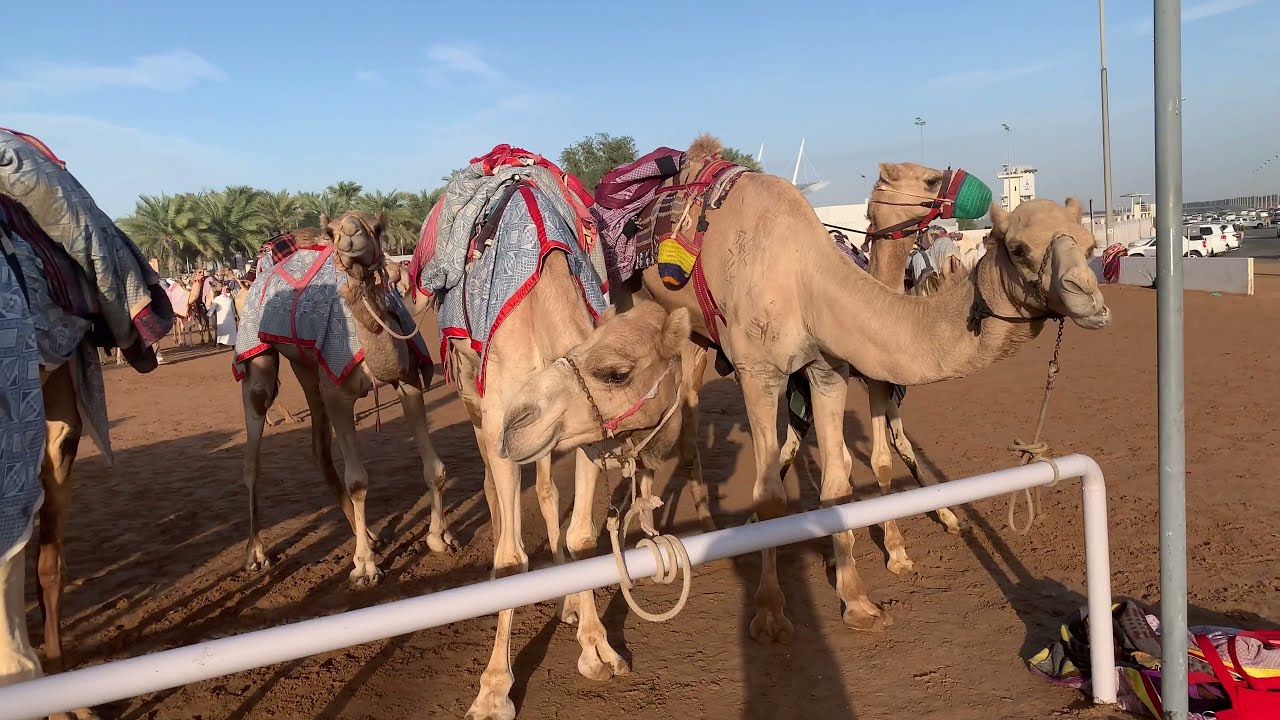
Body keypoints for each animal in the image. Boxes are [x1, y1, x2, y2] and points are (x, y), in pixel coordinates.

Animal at [235, 210, 454, 586]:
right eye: (331, 230)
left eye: (378, 228)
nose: (350, 234)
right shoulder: (339, 396)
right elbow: (358, 482)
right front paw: (364, 566)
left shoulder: (408, 381)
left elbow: (434, 468)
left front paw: (439, 537)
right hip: (258, 354)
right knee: (253, 455)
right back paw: (257, 554)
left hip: (306, 364)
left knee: (318, 448)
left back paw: (368, 534)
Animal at [596, 137, 1109, 639]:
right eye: (1019, 248)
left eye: (1088, 243)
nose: (1090, 299)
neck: (806, 276)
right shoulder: (759, 373)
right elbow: (770, 494)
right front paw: (769, 612)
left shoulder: (829, 370)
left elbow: (839, 483)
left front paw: (858, 601)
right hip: (643, 314)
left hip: (699, 341)